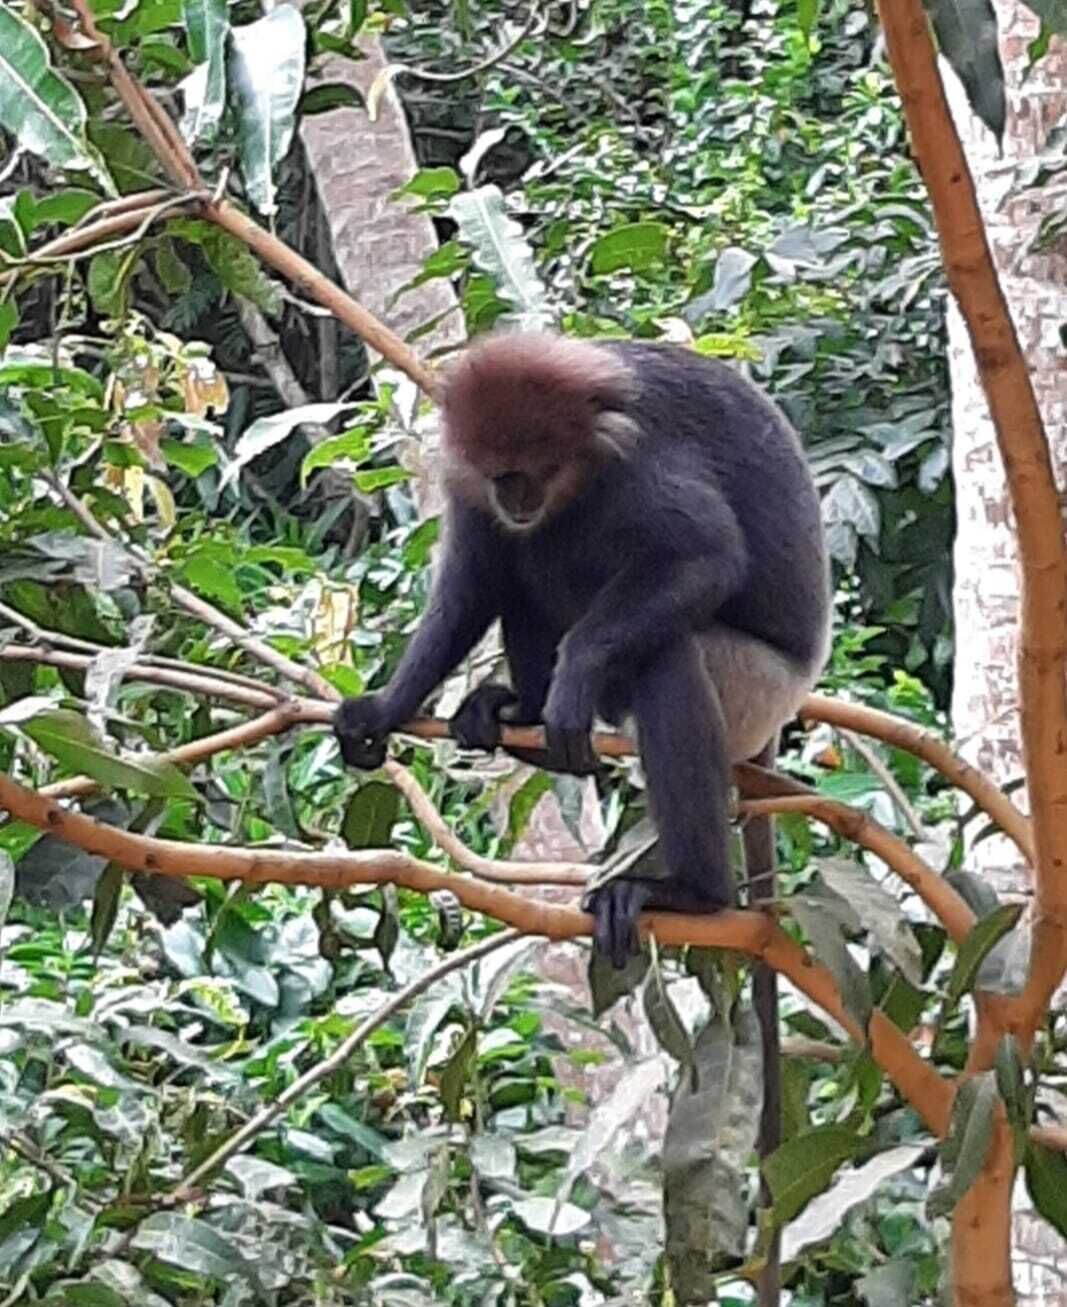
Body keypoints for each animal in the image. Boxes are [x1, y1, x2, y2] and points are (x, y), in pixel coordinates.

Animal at [334, 331, 831, 969]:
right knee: (526, 563)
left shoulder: (638, 461)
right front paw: (385, 708)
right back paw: (521, 715)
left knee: (667, 653)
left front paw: (571, 681)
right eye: (500, 474)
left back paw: (694, 894)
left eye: (534, 470)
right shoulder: (469, 484)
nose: (514, 498)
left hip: (756, 690)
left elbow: (706, 554)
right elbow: (473, 586)